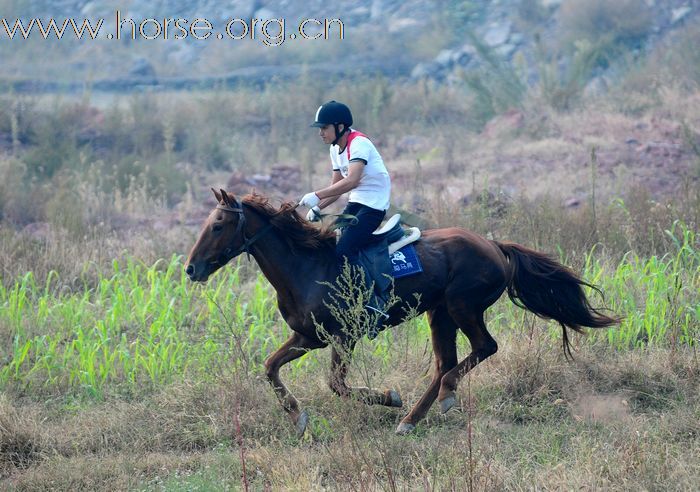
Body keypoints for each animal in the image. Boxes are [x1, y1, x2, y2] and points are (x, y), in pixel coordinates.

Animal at [186, 188, 616, 434]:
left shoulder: (344, 336)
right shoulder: (308, 336)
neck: (305, 266)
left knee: (483, 348)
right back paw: (412, 419)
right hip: (439, 313)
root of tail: (495, 246)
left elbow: (336, 385)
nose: (192, 268)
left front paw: (389, 397)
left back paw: (439, 399)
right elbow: (270, 367)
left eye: (219, 224)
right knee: (446, 363)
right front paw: (296, 417)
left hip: (462, 305)